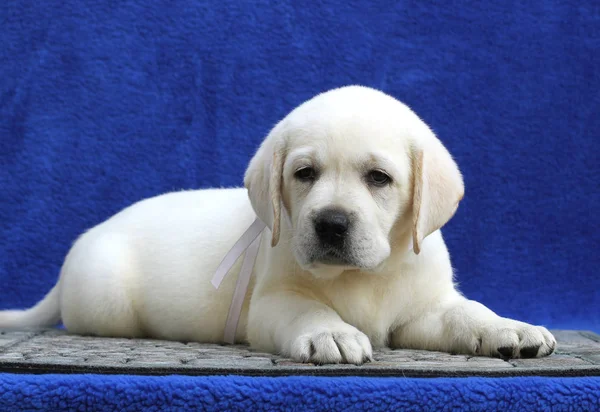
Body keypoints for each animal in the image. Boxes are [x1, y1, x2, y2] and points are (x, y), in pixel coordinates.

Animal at [0, 86, 556, 364]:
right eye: (304, 173)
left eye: (379, 178)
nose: (332, 223)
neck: (365, 277)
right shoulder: (271, 303)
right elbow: (306, 309)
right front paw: (331, 332)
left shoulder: (423, 310)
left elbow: (467, 313)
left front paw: (508, 327)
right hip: (107, 301)